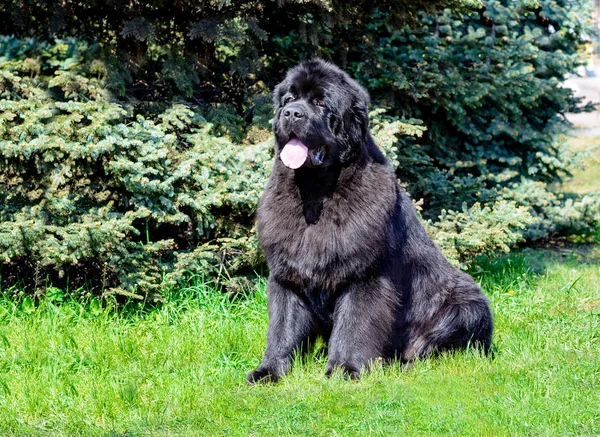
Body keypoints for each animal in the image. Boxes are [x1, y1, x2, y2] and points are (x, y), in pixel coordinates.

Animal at [245, 58, 492, 382]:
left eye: (321, 102)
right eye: (288, 99)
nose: (291, 113)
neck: (315, 193)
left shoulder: (364, 275)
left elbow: (354, 325)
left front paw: (343, 369)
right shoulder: (288, 275)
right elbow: (282, 328)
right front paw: (269, 371)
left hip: (467, 302)